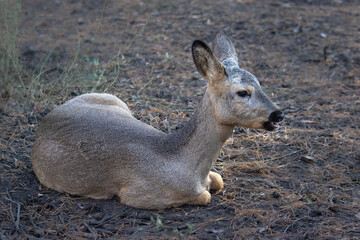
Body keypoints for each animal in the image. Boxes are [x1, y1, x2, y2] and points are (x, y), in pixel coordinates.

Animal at [31, 31, 284, 208]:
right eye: (243, 92)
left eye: (260, 82)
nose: (278, 113)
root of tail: (46, 120)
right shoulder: (137, 194)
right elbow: (205, 196)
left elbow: (219, 180)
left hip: (113, 98)